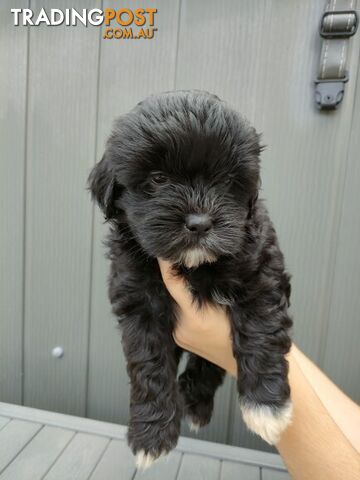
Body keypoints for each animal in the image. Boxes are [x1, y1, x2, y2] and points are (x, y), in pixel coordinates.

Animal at [88, 90, 292, 468]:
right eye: (158, 180)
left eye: (226, 181)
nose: (199, 223)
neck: (194, 266)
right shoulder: (139, 302)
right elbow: (148, 364)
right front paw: (151, 436)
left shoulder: (261, 274)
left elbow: (262, 331)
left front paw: (267, 406)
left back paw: (196, 398)